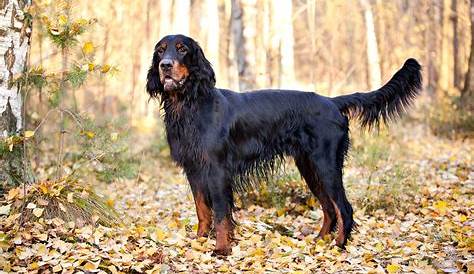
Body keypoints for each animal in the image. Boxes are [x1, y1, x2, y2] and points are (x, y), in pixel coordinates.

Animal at [145, 34, 422, 256]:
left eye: (182, 48)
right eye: (160, 50)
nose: (165, 65)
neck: (190, 105)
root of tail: (332, 102)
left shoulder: (217, 171)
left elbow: (222, 214)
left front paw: (222, 249)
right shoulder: (194, 169)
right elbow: (202, 210)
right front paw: (199, 241)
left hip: (326, 165)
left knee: (344, 208)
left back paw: (339, 246)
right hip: (309, 167)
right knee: (329, 208)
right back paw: (320, 240)